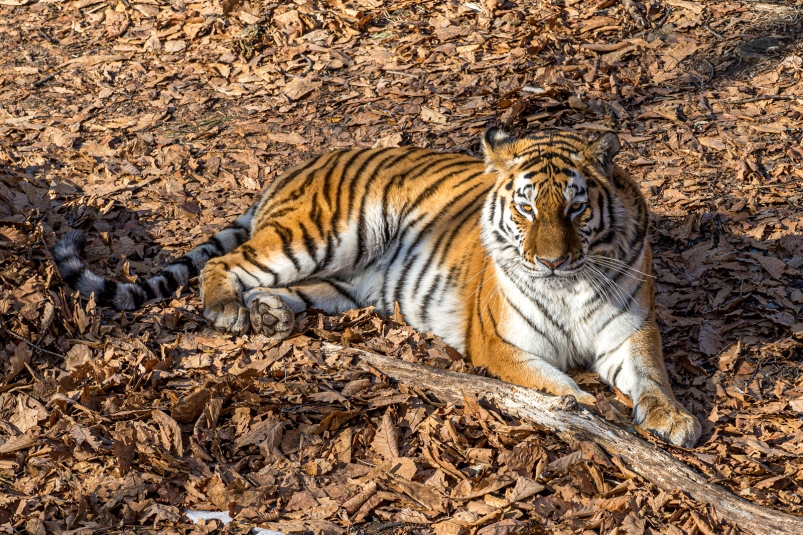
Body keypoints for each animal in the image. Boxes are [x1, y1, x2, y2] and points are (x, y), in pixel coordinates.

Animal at [53, 129, 700, 448]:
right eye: (525, 208)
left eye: (575, 208)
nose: (551, 260)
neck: (570, 286)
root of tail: (297, 168)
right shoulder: (504, 344)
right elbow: (559, 387)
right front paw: (598, 409)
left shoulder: (630, 331)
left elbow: (652, 376)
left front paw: (674, 418)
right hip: (318, 235)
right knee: (230, 263)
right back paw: (227, 311)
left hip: (343, 280)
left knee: (287, 289)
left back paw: (269, 316)